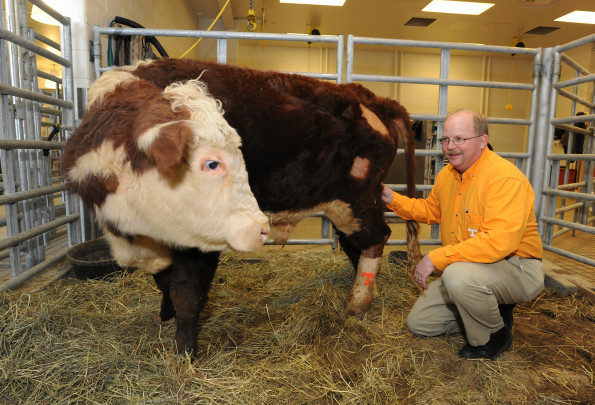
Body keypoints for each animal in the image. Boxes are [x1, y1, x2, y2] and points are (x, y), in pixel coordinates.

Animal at [61, 75, 270, 350]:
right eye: (212, 163)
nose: (262, 229)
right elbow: (165, 283)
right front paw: (168, 314)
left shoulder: (193, 241)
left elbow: (186, 291)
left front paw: (184, 346)